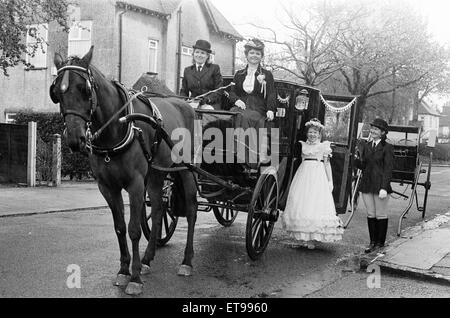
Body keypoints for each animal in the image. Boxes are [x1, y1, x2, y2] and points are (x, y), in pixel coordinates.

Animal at [48, 47, 197, 296]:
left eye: (84, 89)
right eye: (57, 92)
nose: (75, 139)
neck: (118, 128)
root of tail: (185, 104)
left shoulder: (135, 184)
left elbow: (134, 229)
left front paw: (134, 279)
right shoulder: (107, 187)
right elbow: (119, 228)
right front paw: (124, 271)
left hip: (186, 169)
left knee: (193, 209)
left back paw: (186, 261)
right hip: (156, 174)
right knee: (158, 209)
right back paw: (148, 259)